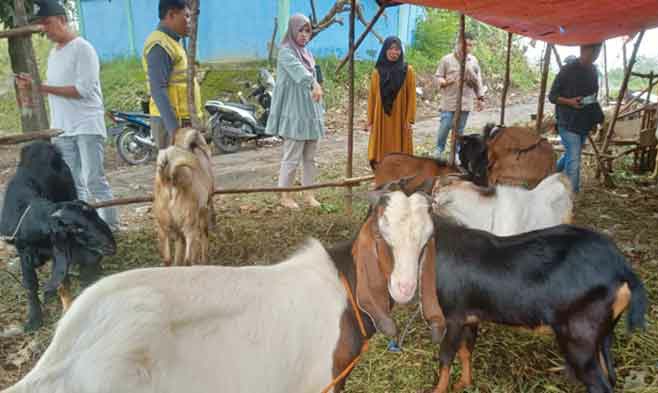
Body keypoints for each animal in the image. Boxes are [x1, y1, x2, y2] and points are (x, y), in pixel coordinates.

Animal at [0, 141, 116, 330]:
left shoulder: (57, 253)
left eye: (95, 216)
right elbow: (30, 284)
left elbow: (63, 281)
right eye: (76, 229)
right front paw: (34, 319)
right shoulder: (24, 253)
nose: (111, 246)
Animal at [3, 188, 436, 390]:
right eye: (382, 236)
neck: (342, 285)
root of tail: (64, 358)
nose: (403, 287)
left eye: (426, 240)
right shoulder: (321, 383)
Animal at [152, 127, 214, 264]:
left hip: (163, 228)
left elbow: (178, 250)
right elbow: (204, 237)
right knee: (188, 259)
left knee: (168, 259)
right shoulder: (203, 211)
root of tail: (169, 177)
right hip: (189, 225)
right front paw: (204, 260)